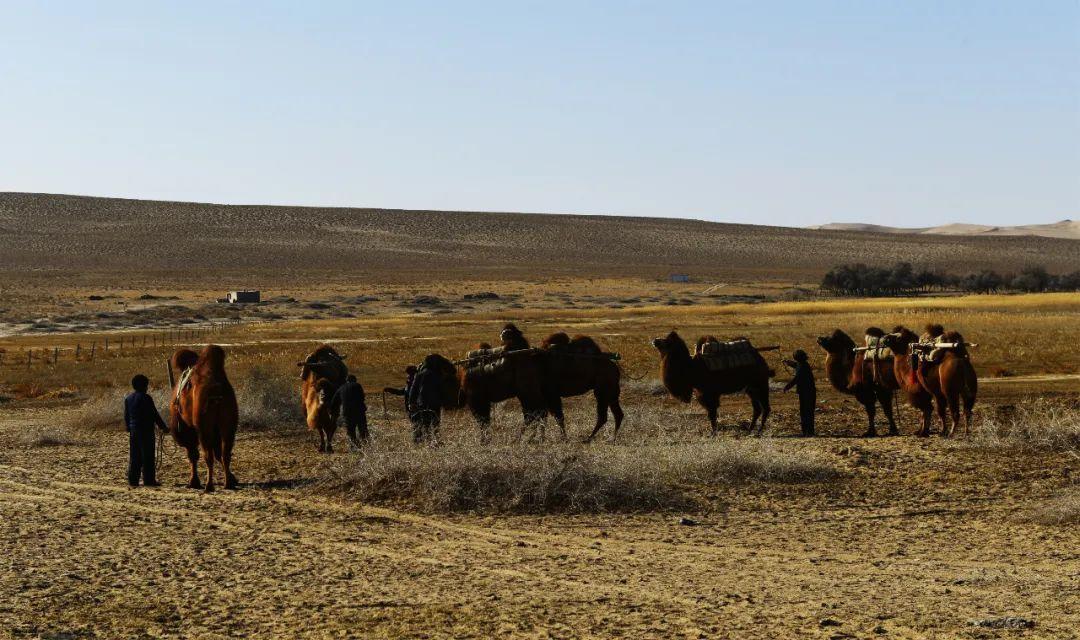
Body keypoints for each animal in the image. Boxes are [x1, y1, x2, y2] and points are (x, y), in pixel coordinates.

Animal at [168, 345, 238, 489]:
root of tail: (217, 394)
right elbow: (218, 453)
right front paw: (234, 479)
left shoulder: (188, 428)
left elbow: (193, 454)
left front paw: (193, 482)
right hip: (228, 425)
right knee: (225, 453)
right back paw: (228, 483)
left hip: (203, 426)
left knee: (208, 455)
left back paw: (209, 485)